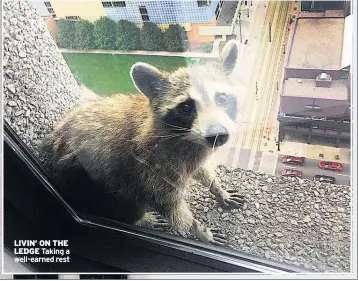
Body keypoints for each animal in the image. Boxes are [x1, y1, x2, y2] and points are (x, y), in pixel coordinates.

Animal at [40, 40, 245, 244]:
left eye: (222, 98)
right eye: (186, 107)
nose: (218, 135)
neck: (186, 137)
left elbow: (201, 169)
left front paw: (216, 187)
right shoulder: (153, 165)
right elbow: (169, 206)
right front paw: (199, 229)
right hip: (90, 180)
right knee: (124, 199)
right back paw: (139, 219)